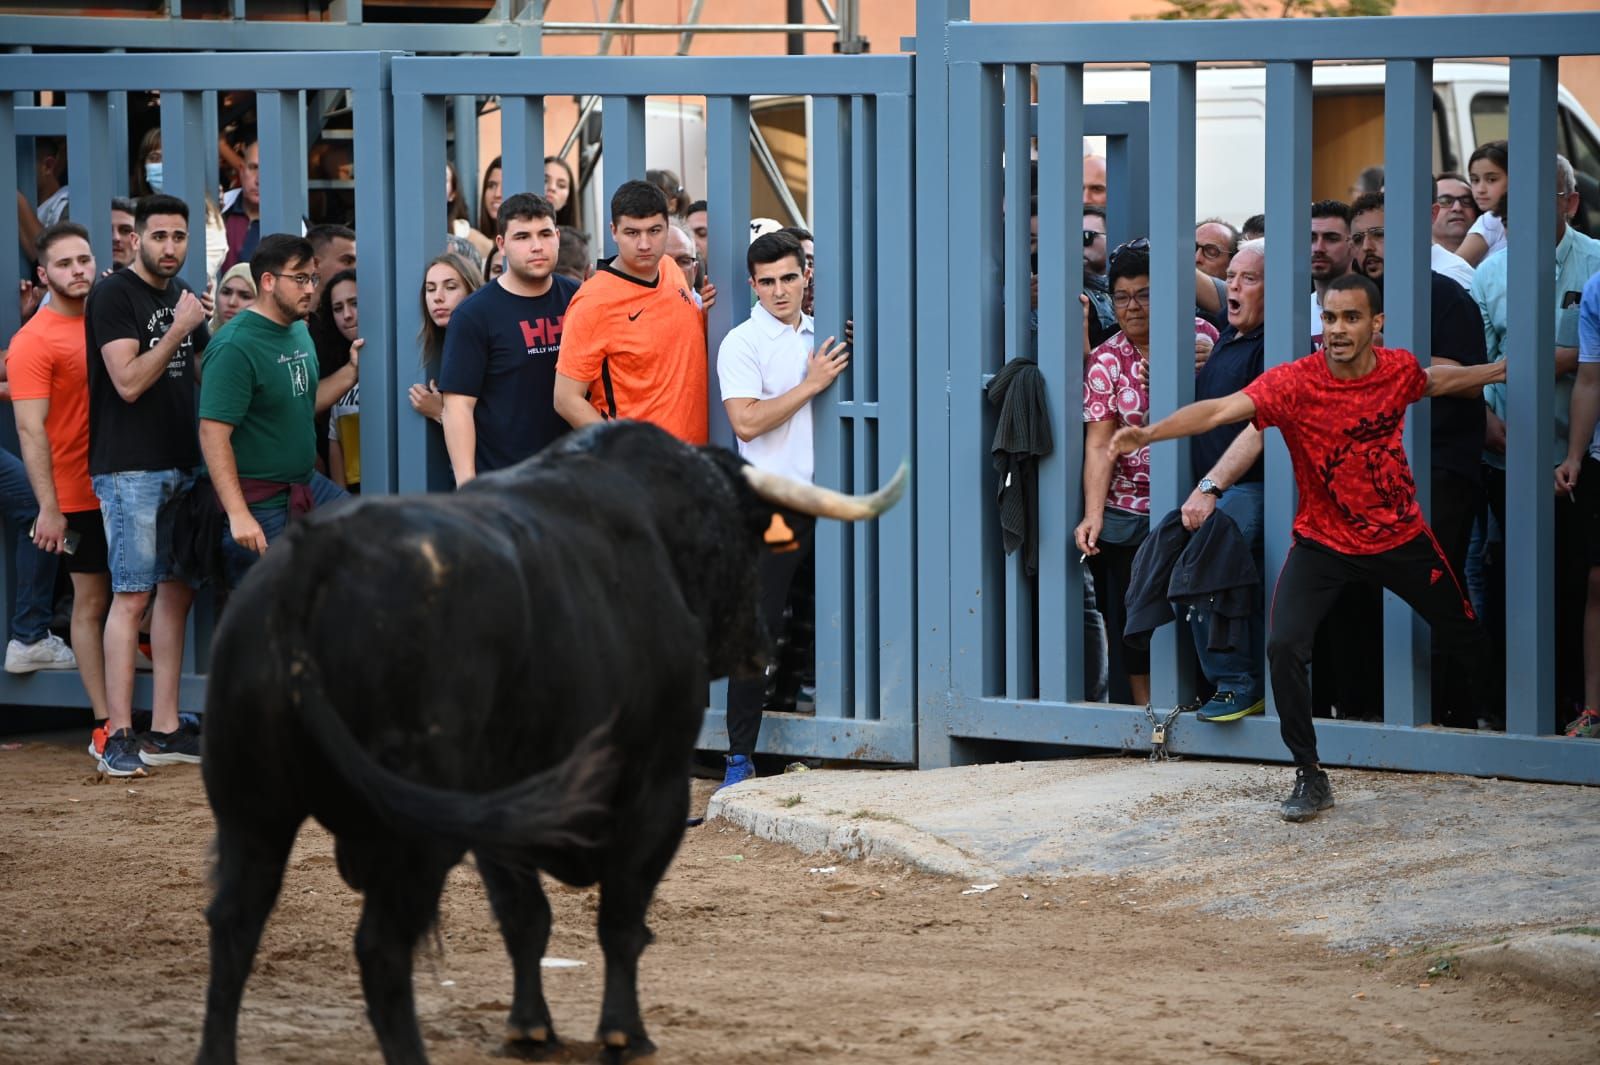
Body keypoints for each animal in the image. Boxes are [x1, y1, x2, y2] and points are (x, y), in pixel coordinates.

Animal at [193, 422, 908, 1061]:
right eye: (741, 536)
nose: (759, 641)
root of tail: (314, 559)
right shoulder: (656, 789)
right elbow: (620, 918)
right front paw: (624, 1033)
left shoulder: (505, 806)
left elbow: (525, 918)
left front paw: (530, 1029)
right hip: (414, 829)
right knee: (381, 947)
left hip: (253, 812)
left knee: (234, 927)